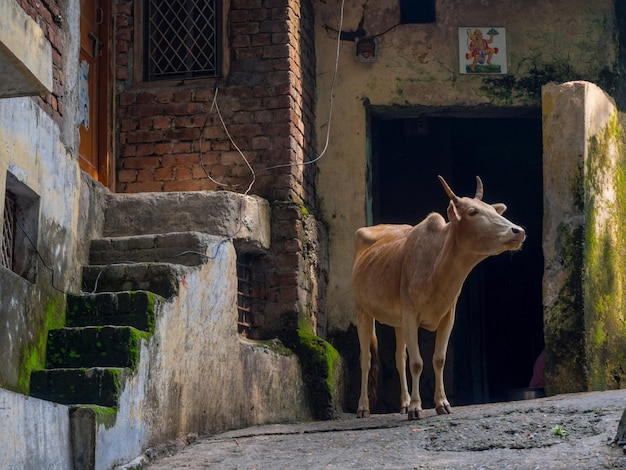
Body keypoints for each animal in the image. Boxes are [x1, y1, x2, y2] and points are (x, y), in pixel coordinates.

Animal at [352, 176, 520, 418]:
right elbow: (417, 363)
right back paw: (364, 407)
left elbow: (438, 359)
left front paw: (441, 403)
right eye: (472, 211)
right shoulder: (410, 315)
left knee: (399, 358)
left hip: (397, 321)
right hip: (362, 311)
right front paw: (416, 407)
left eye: (492, 209)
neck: (437, 266)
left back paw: (403, 404)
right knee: (365, 359)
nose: (518, 231)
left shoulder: (446, 316)